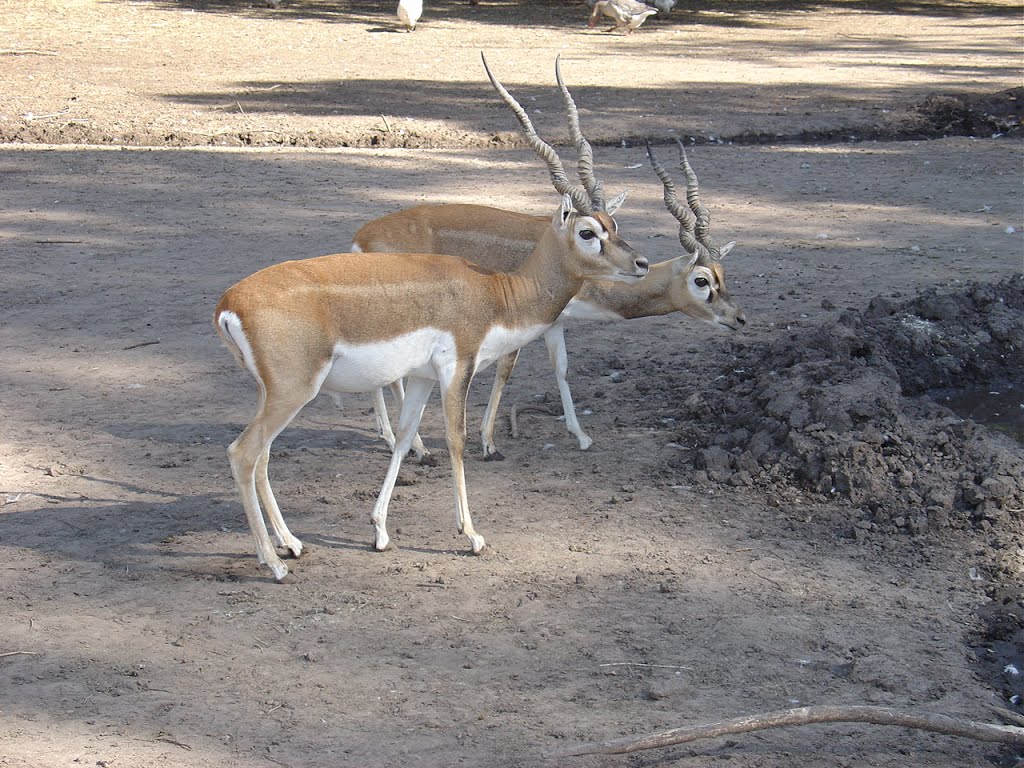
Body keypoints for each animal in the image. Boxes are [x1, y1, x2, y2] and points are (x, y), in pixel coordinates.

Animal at [212, 54, 647, 581]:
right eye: (587, 232)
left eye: (614, 224)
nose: (641, 264)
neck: (495, 292)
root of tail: (230, 302)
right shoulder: (456, 368)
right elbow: (456, 441)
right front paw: (473, 535)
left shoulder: (419, 377)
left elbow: (403, 440)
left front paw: (380, 532)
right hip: (294, 391)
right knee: (243, 453)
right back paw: (274, 563)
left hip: (274, 393)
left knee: (263, 455)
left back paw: (292, 544)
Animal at [352, 138, 745, 460]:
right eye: (701, 280)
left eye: (723, 275)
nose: (738, 318)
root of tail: (362, 238)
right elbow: (507, 369)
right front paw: (489, 443)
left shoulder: (555, 323)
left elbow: (561, 367)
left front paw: (581, 435)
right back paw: (417, 448)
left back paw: (388, 436)